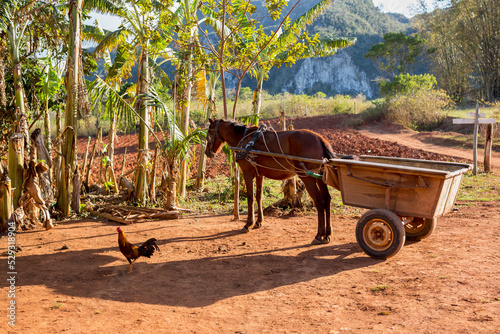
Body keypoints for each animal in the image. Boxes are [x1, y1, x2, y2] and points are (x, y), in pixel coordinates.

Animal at [203, 118, 340, 244]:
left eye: (209, 132)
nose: (207, 152)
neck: (243, 139)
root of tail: (320, 139)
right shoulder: (259, 175)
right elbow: (259, 196)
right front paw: (259, 222)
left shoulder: (248, 173)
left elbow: (250, 198)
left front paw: (248, 223)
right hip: (321, 176)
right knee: (327, 199)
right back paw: (328, 234)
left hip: (308, 177)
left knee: (319, 201)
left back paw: (319, 234)